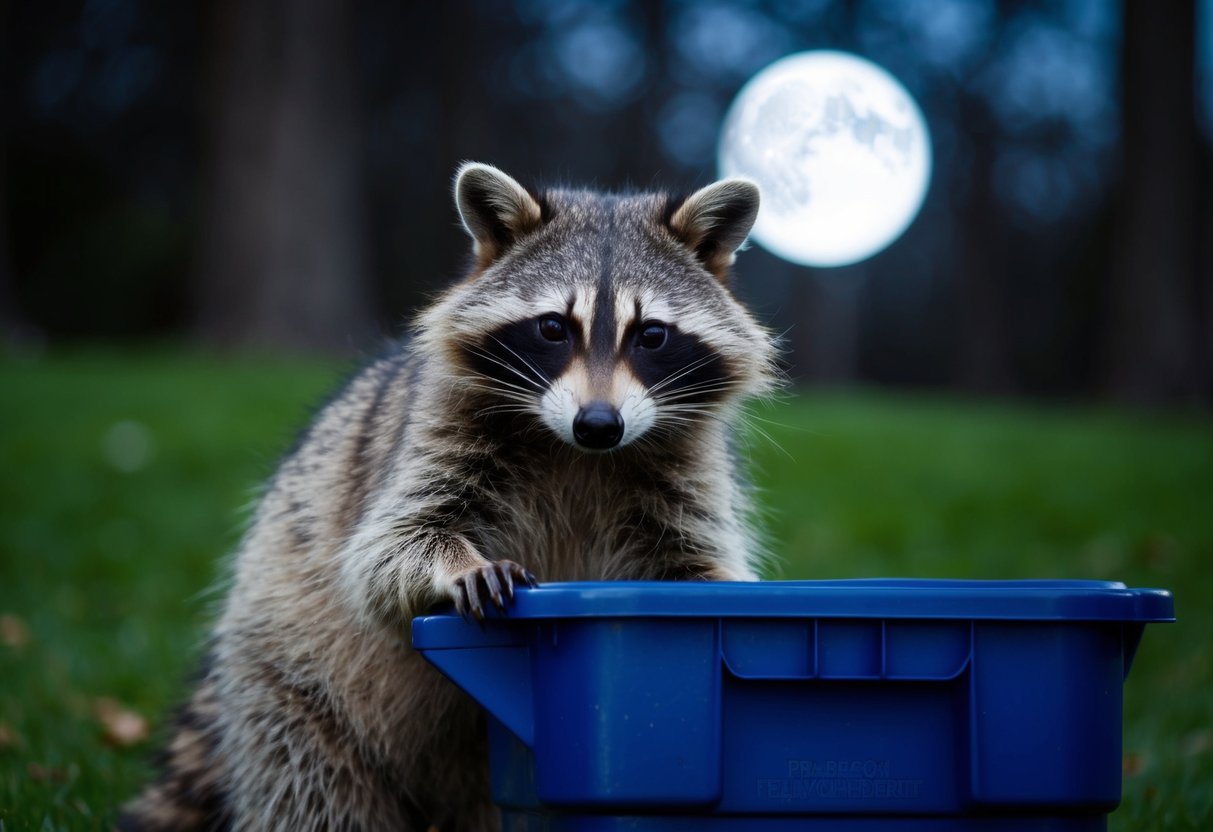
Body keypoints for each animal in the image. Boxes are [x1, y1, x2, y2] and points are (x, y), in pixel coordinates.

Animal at [119, 163, 779, 831]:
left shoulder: (689, 468)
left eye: (651, 335)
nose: (598, 424)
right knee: (314, 789)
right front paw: (457, 564)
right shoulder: (432, 435)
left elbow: (693, 558)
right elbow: (385, 551)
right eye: (552, 328)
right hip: (285, 681)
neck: (579, 454)